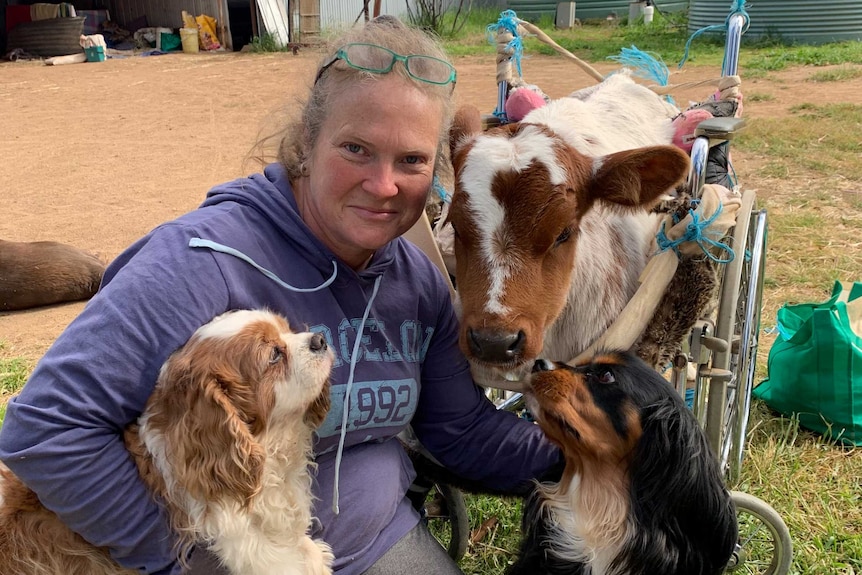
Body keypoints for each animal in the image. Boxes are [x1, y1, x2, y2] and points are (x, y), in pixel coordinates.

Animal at [0, 310, 336, 575]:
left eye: (288, 329)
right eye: (273, 355)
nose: (320, 339)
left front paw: (310, 552)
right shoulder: (242, 540)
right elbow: (276, 559)